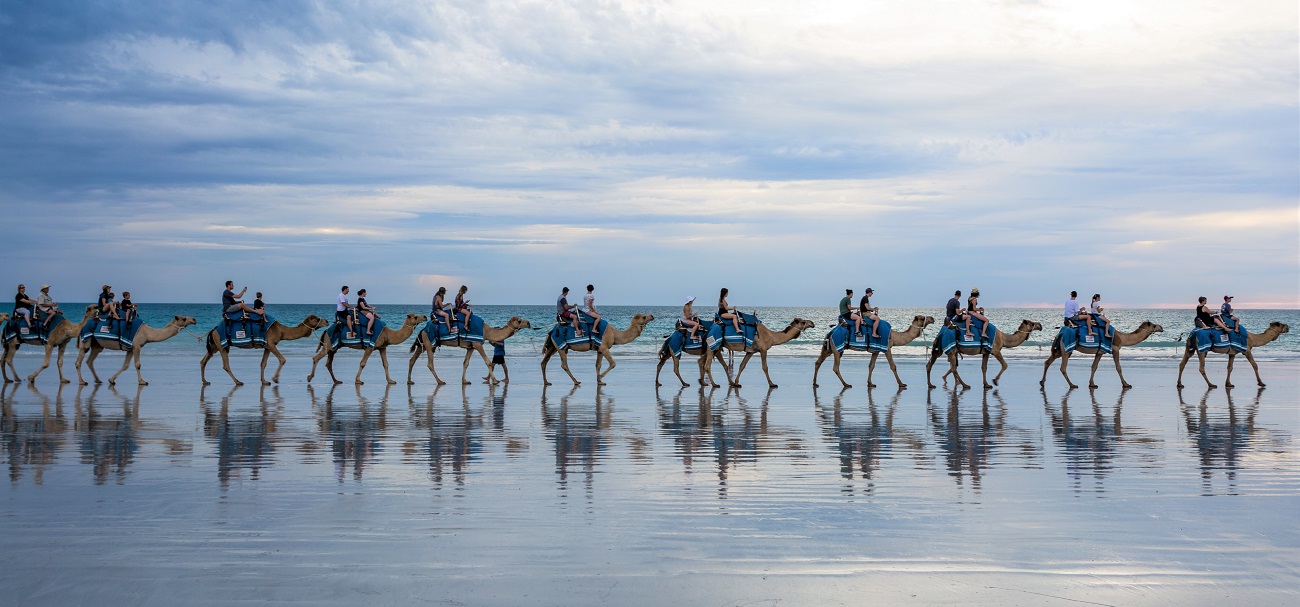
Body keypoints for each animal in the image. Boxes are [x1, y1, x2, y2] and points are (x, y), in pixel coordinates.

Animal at [200, 315, 330, 387]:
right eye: (317, 318)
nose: (327, 321)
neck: (281, 331)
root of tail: (213, 330)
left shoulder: (267, 346)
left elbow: (263, 363)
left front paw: (264, 381)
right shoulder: (271, 344)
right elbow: (282, 359)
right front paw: (275, 379)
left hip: (215, 344)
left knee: (203, 361)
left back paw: (205, 381)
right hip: (222, 344)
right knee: (225, 365)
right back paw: (238, 382)